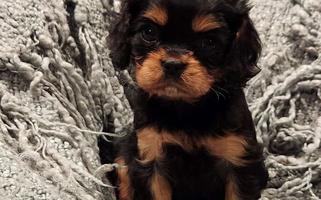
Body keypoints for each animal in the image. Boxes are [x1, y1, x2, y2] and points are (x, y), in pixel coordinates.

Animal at [107, 0, 268, 199]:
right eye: (149, 32)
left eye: (209, 42)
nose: (172, 64)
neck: (185, 107)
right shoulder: (152, 155)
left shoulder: (239, 159)